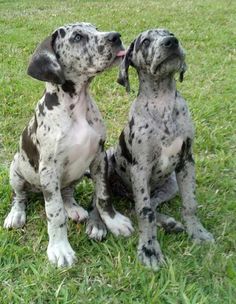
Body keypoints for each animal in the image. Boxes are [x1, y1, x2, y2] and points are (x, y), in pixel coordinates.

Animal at [3, 22, 133, 268]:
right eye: (77, 37)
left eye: (96, 28)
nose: (116, 37)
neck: (77, 105)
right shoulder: (49, 170)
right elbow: (54, 213)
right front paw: (59, 248)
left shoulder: (99, 157)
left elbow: (103, 196)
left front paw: (113, 222)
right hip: (15, 170)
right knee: (20, 196)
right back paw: (16, 214)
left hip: (76, 174)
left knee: (66, 193)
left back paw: (73, 208)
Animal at [106, 28, 215, 270]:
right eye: (145, 41)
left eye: (170, 33)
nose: (171, 42)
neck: (162, 102)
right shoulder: (140, 169)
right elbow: (144, 213)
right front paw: (149, 250)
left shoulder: (187, 161)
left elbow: (190, 203)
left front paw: (197, 233)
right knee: (137, 208)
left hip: (170, 185)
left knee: (153, 205)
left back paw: (170, 224)